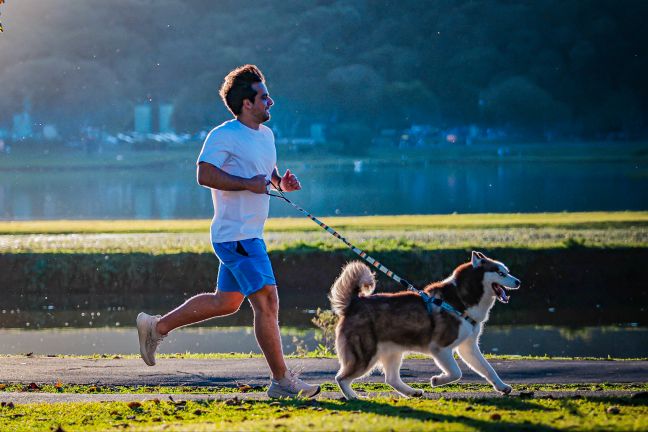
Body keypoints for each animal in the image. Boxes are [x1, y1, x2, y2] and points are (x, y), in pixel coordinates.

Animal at [330, 251, 520, 400]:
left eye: (507, 271)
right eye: (500, 273)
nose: (518, 282)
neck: (461, 300)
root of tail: (354, 302)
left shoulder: (468, 347)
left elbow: (488, 369)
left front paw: (502, 387)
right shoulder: (440, 348)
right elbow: (456, 372)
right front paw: (437, 380)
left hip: (392, 351)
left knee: (391, 379)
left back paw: (411, 392)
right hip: (365, 355)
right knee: (341, 378)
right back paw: (353, 396)